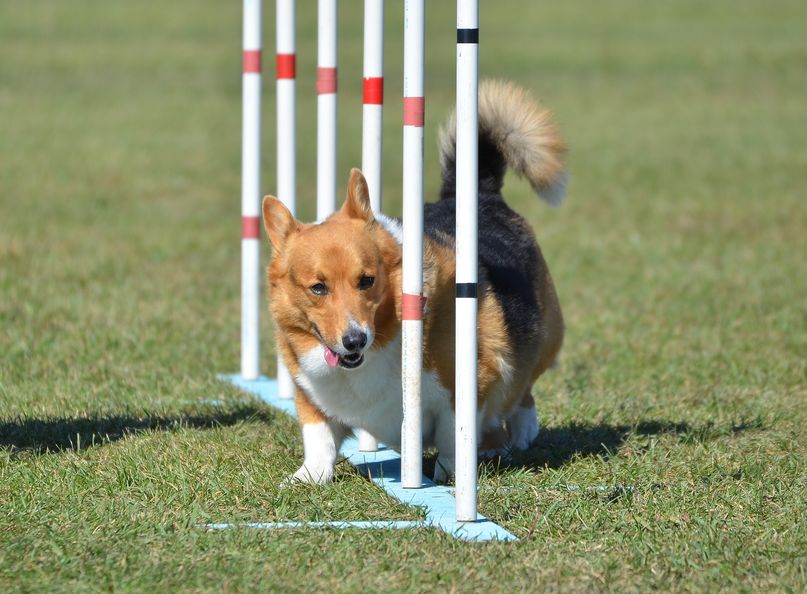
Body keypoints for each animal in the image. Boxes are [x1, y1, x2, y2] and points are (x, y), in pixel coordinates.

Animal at [262, 81, 564, 484]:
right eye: (318, 288)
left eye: (367, 280)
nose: (354, 340)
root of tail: (478, 195)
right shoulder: (311, 396)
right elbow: (319, 439)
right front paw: (306, 478)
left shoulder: (464, 387)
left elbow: (454, 438)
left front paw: (446, 477)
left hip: (540, 338)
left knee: (521, 390)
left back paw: (516, 435)